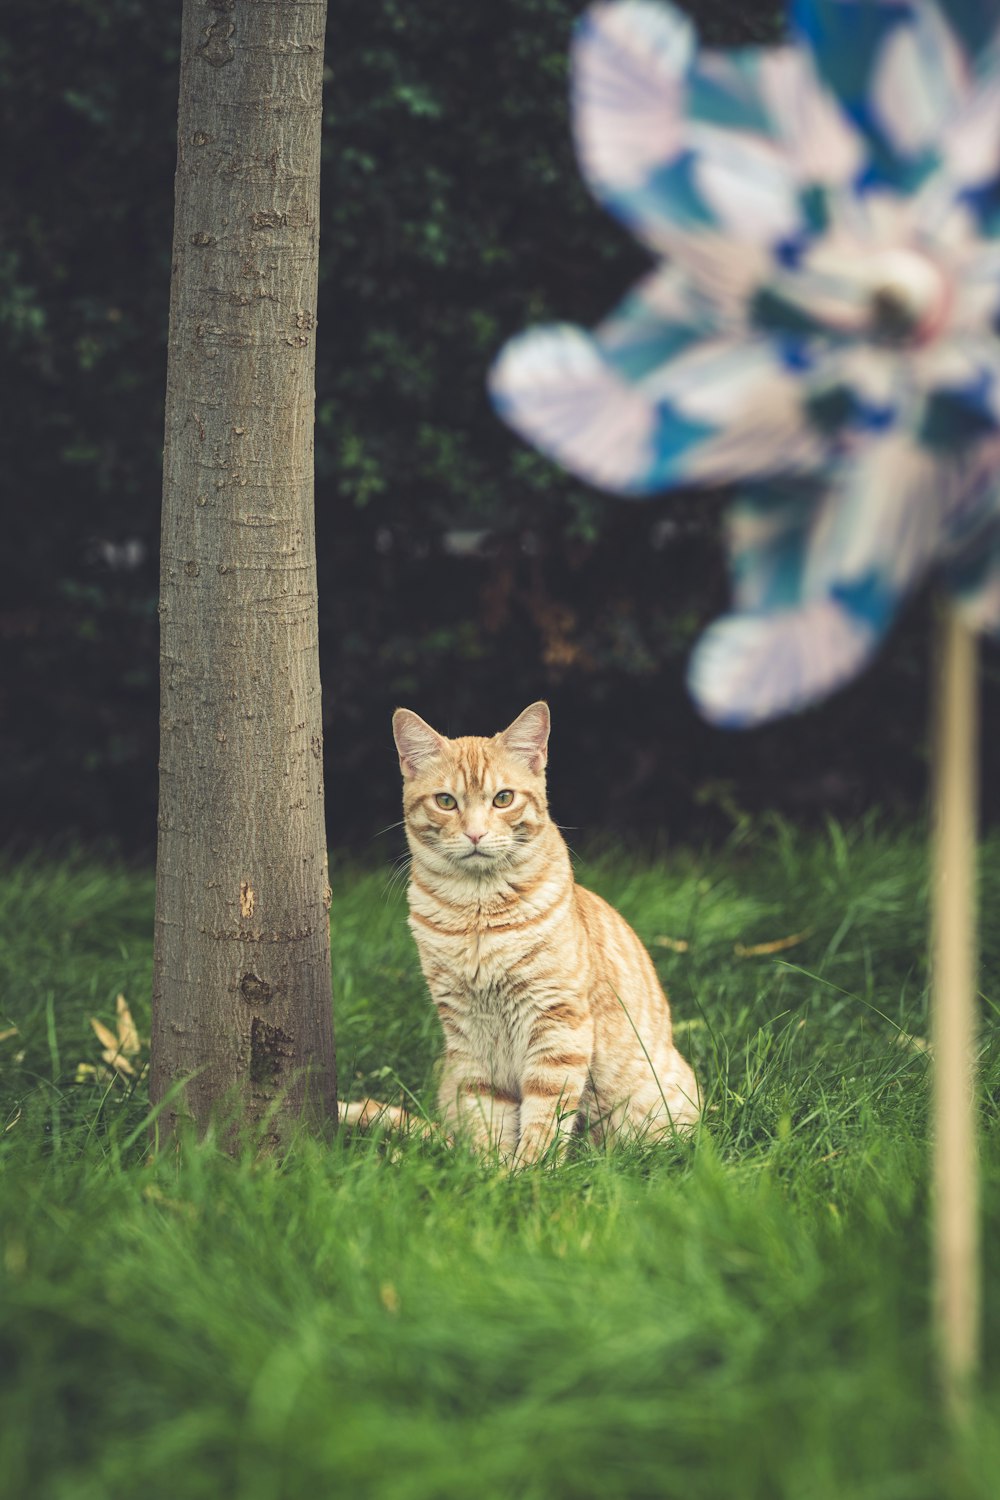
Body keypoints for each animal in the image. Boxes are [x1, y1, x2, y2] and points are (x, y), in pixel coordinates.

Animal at [386, 696, 704, 1164]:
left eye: (503, 799)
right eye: (446, 801)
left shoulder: (557, 1023)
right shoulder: (469, 1035)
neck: (476, 915)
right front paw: (492, 1171)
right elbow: (487, 1115)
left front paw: (530, 1171)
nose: (475, 833)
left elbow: (544, 1115)